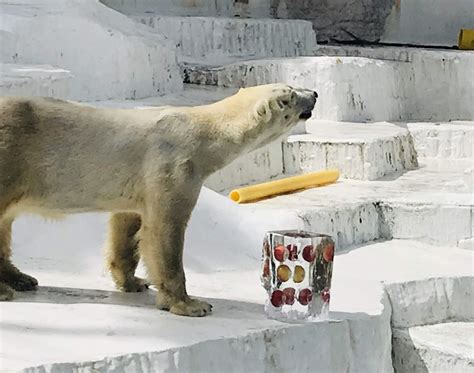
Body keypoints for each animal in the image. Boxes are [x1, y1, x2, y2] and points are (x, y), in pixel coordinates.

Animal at [0, 83, 318, 314]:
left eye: (294, 88)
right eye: (291, 95)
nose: (314, 94)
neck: (204, 131)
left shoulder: (137, 184)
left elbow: (127, 225)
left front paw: (134, 282)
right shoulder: (174, 166)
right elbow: (165, 229)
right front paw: (190, 304)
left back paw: (21, 278)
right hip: (11, 154)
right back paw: (8, 290)